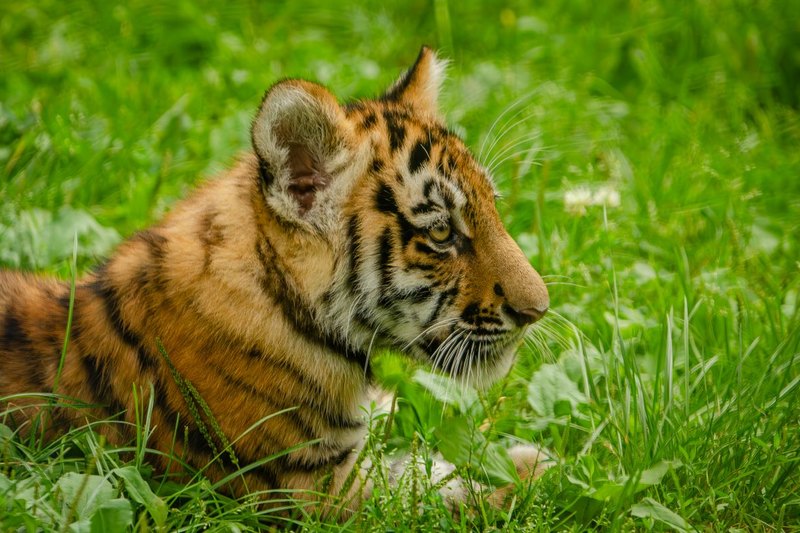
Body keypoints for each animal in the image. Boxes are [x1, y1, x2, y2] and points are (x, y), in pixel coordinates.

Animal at [0, 47, 550, 515]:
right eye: (440, 232)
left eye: (492, 207)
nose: (539, 311)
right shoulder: (313, 494)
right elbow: (428, 492)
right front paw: (535, 471)